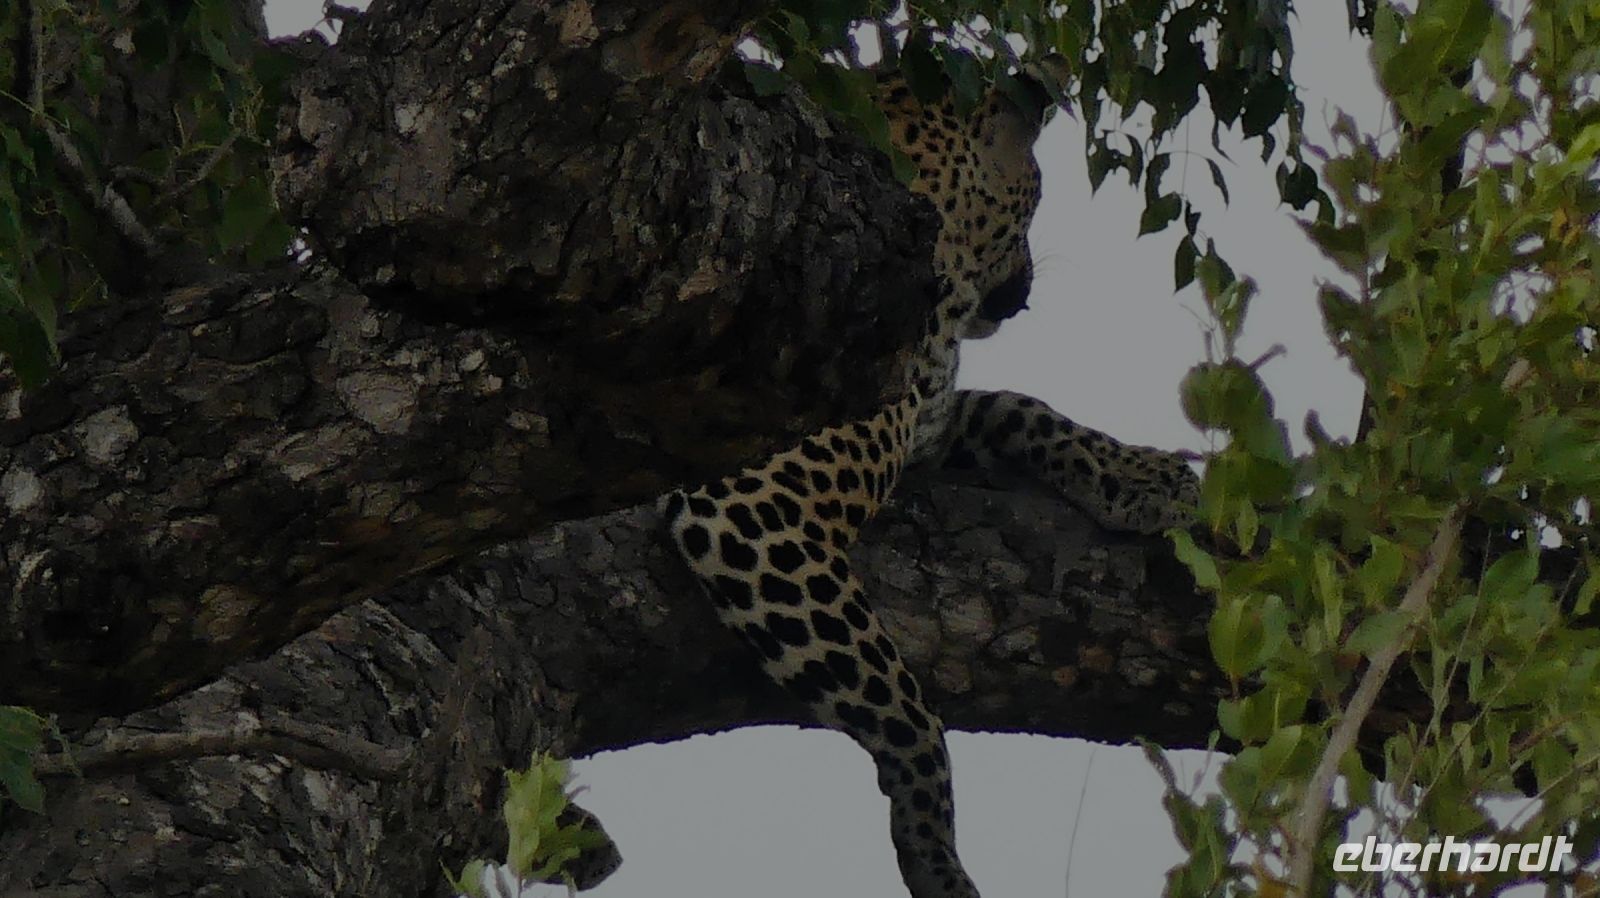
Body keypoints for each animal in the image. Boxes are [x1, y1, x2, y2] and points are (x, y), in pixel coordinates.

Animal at [663, 65, 1200, 898]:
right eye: (1036, 195)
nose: (1027, 285)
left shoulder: (934, 420)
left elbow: (1024, 406)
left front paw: (1144, 476)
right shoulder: (758, 504)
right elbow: (912, 717)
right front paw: (934, 852)